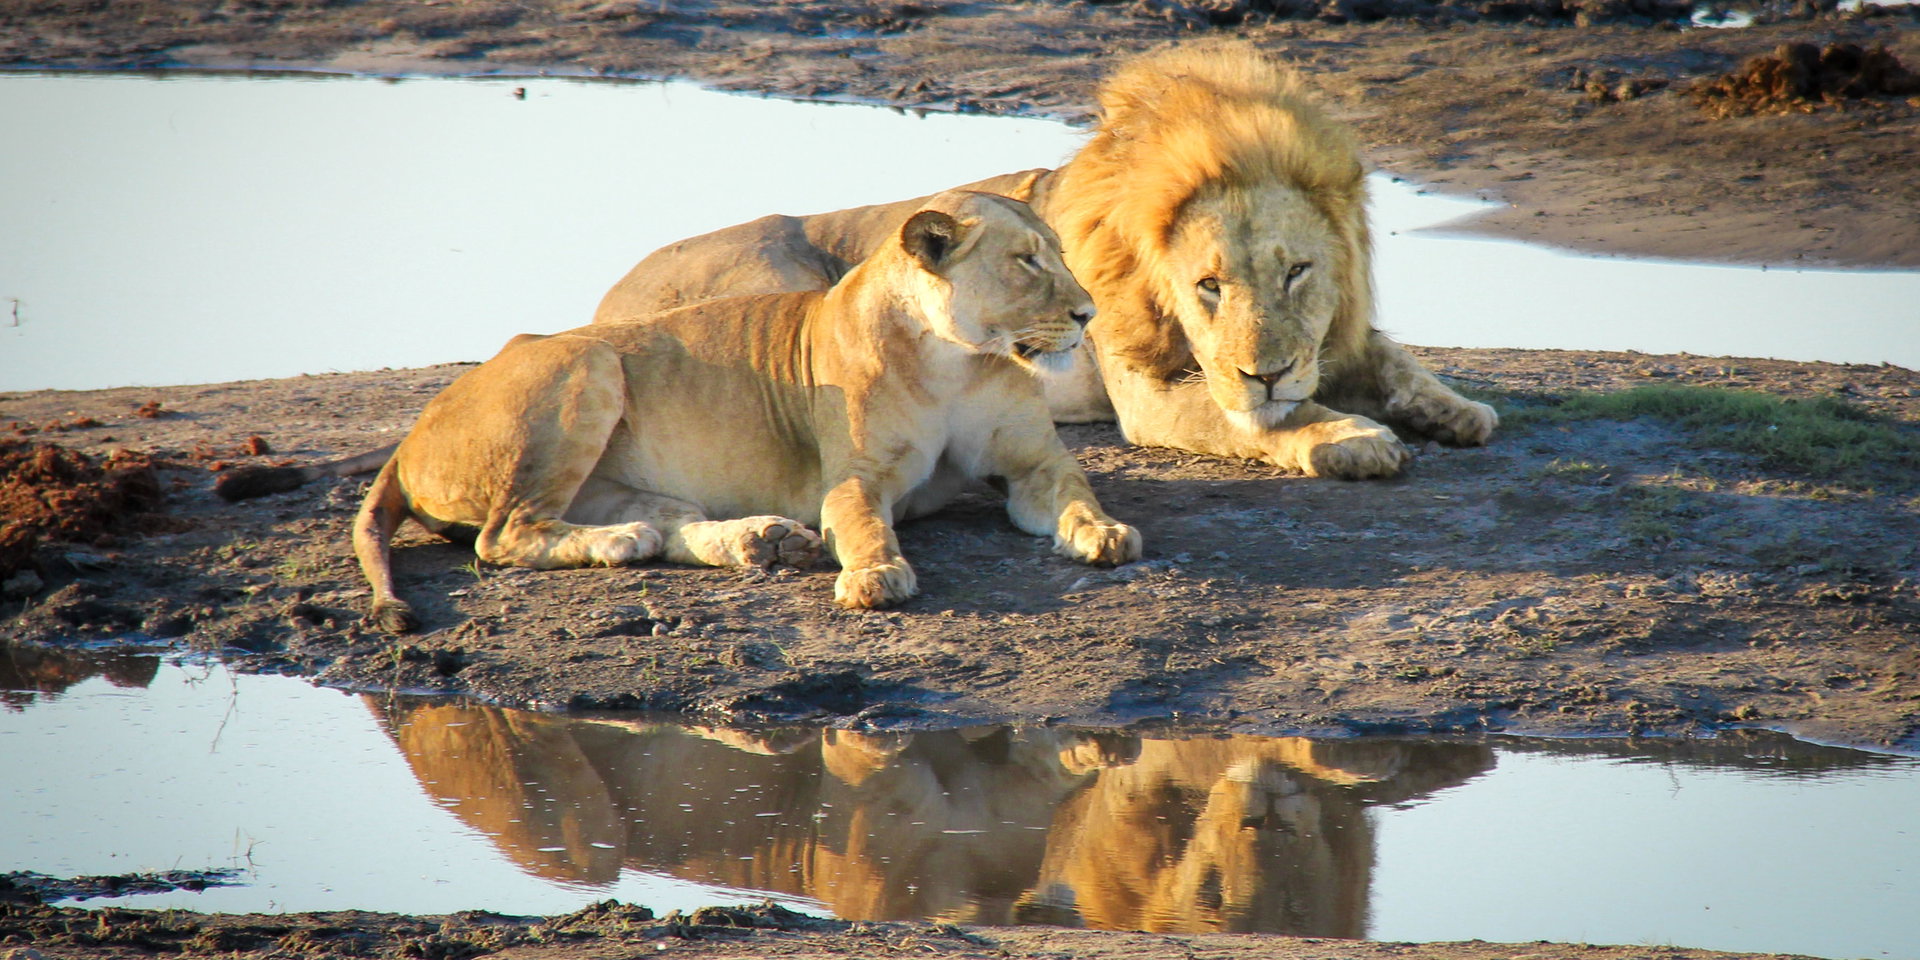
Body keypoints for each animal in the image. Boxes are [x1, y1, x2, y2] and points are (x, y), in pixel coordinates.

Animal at [353, 190, 1141, 631]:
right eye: (1026, 261)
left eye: (1059, 254)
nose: (1089, 312)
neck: (957, 360)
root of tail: (410, 435)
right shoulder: (852, 478)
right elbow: (863, 525)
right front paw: (875, 576)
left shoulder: (1035, 461)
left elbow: (1077, 493)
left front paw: (1105, 533)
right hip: (588, 364)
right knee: (503, 534)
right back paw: (639, 543)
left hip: (613, 471)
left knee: (668, 524)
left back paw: (750, 541)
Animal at [594, 42, 1497, 480]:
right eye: (1208, 286)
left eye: (1297, 273)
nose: (1267, 372)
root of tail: (604, 299)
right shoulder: (1153, 398)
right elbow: (1261, 421)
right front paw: (1352, 435)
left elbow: (1391, 354)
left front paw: (1452, 409)